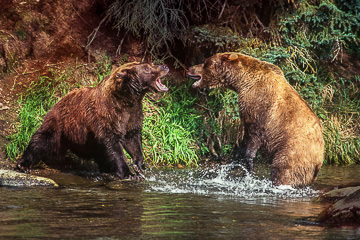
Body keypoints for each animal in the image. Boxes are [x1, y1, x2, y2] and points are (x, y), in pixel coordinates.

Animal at [16, 62, 169, 178]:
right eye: (147, 68)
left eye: (150, 64)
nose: (165, 66)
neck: (128, 99)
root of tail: (58, 101)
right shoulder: (107, 115)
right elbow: (112, 144)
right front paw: (128, 173)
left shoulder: (133, 115)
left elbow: (132, 139)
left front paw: (139, 165)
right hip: (59, 125)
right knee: (41, 140)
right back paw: (23, 164)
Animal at [187, 53, 324, 188]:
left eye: (205, 62)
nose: (189, 69)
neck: (241, 82)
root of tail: (319, 161)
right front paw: (234, 160)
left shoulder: (258, 105)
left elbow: (254, 135)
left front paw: (248, 164)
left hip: (292, 152)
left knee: (282, 171)